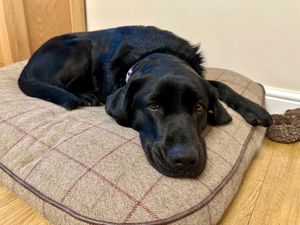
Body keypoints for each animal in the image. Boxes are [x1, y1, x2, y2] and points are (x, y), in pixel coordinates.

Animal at [18, 25, 272, 178]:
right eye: (154, 106)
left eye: (199, 107)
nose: (185, 160)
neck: (157, 53)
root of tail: (25, 68)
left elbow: (219, 85)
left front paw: (254, 108)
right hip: (81, 47)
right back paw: (85, 96)